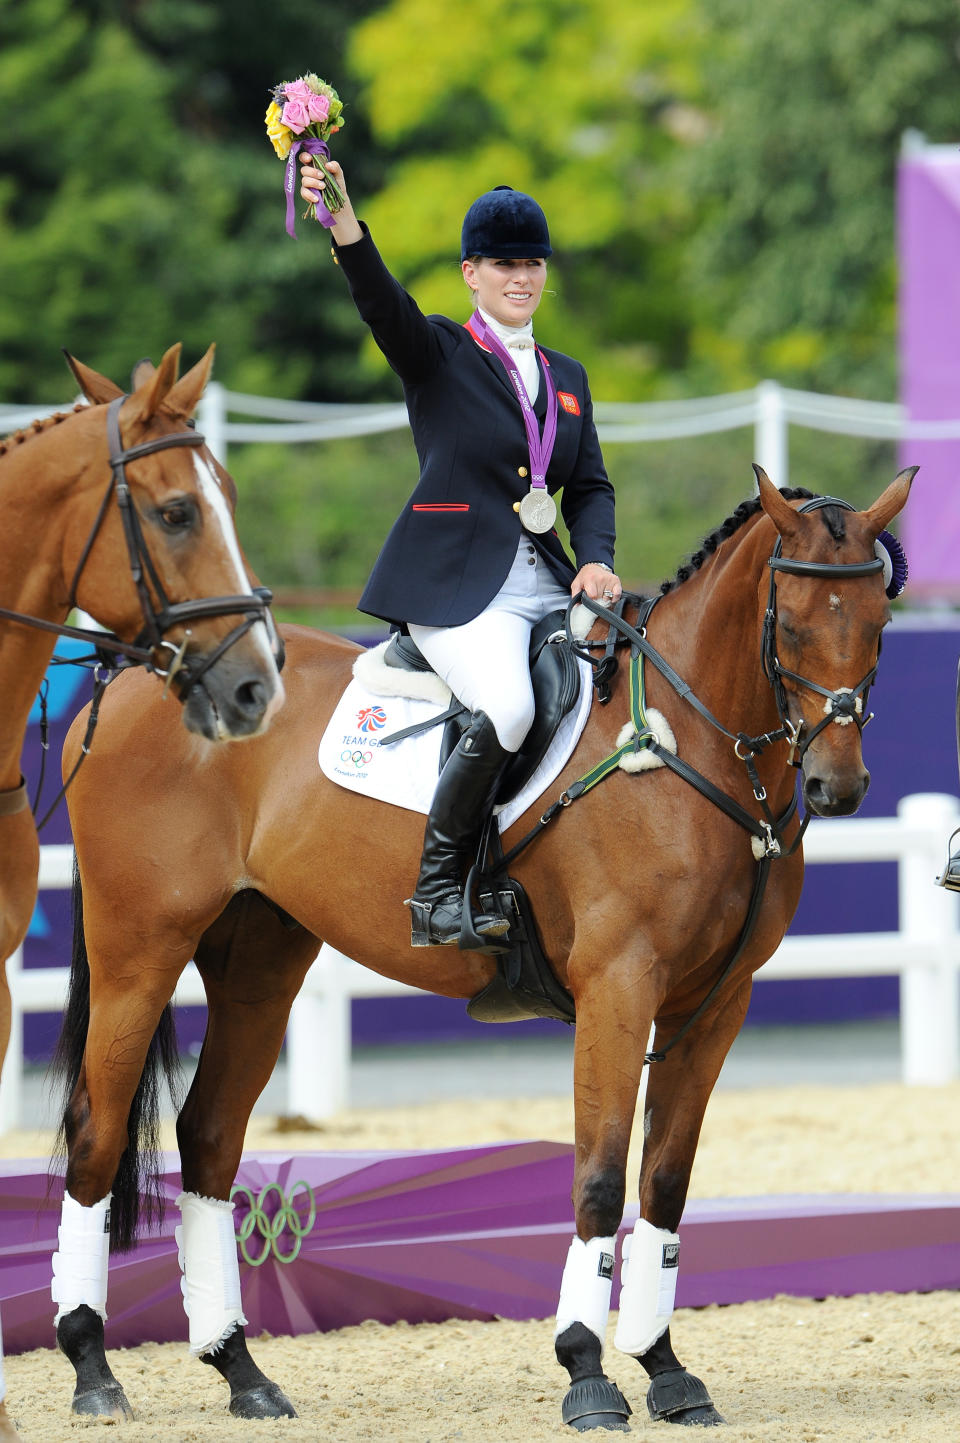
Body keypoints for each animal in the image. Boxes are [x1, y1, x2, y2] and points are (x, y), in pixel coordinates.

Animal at [50, 470, 906, 1431]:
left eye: (878, 621)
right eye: (788, 624)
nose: (838, 787)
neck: (687, 746)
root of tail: (133, 676)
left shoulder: (716, 1001)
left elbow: (665, 1182)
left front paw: (668, 1369)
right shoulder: (619, 985)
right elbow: (600, 1176)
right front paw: (588, 1372)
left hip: (259, 963)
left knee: (208, 1137)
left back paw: (241, 1369)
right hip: (139, 948)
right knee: (97, 1128)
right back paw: (92, 1366)